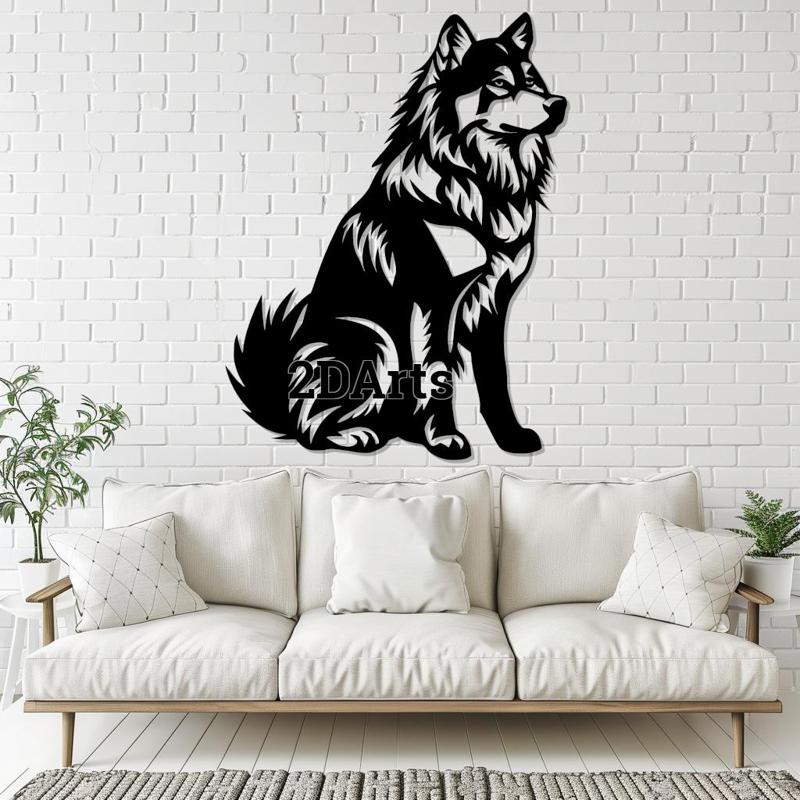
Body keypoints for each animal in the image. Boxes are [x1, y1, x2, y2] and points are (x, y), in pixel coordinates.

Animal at [228, 13, 567, 459]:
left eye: (532, 80)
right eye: (498, 82)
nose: (559, 104)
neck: (480, 178)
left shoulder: (493, 302)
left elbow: (496, 378)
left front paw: (510, 438)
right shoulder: (432, 299)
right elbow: (437, 374)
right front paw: (444, 439)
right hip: (371, 338)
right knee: (309, 427)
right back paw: (357, 434)